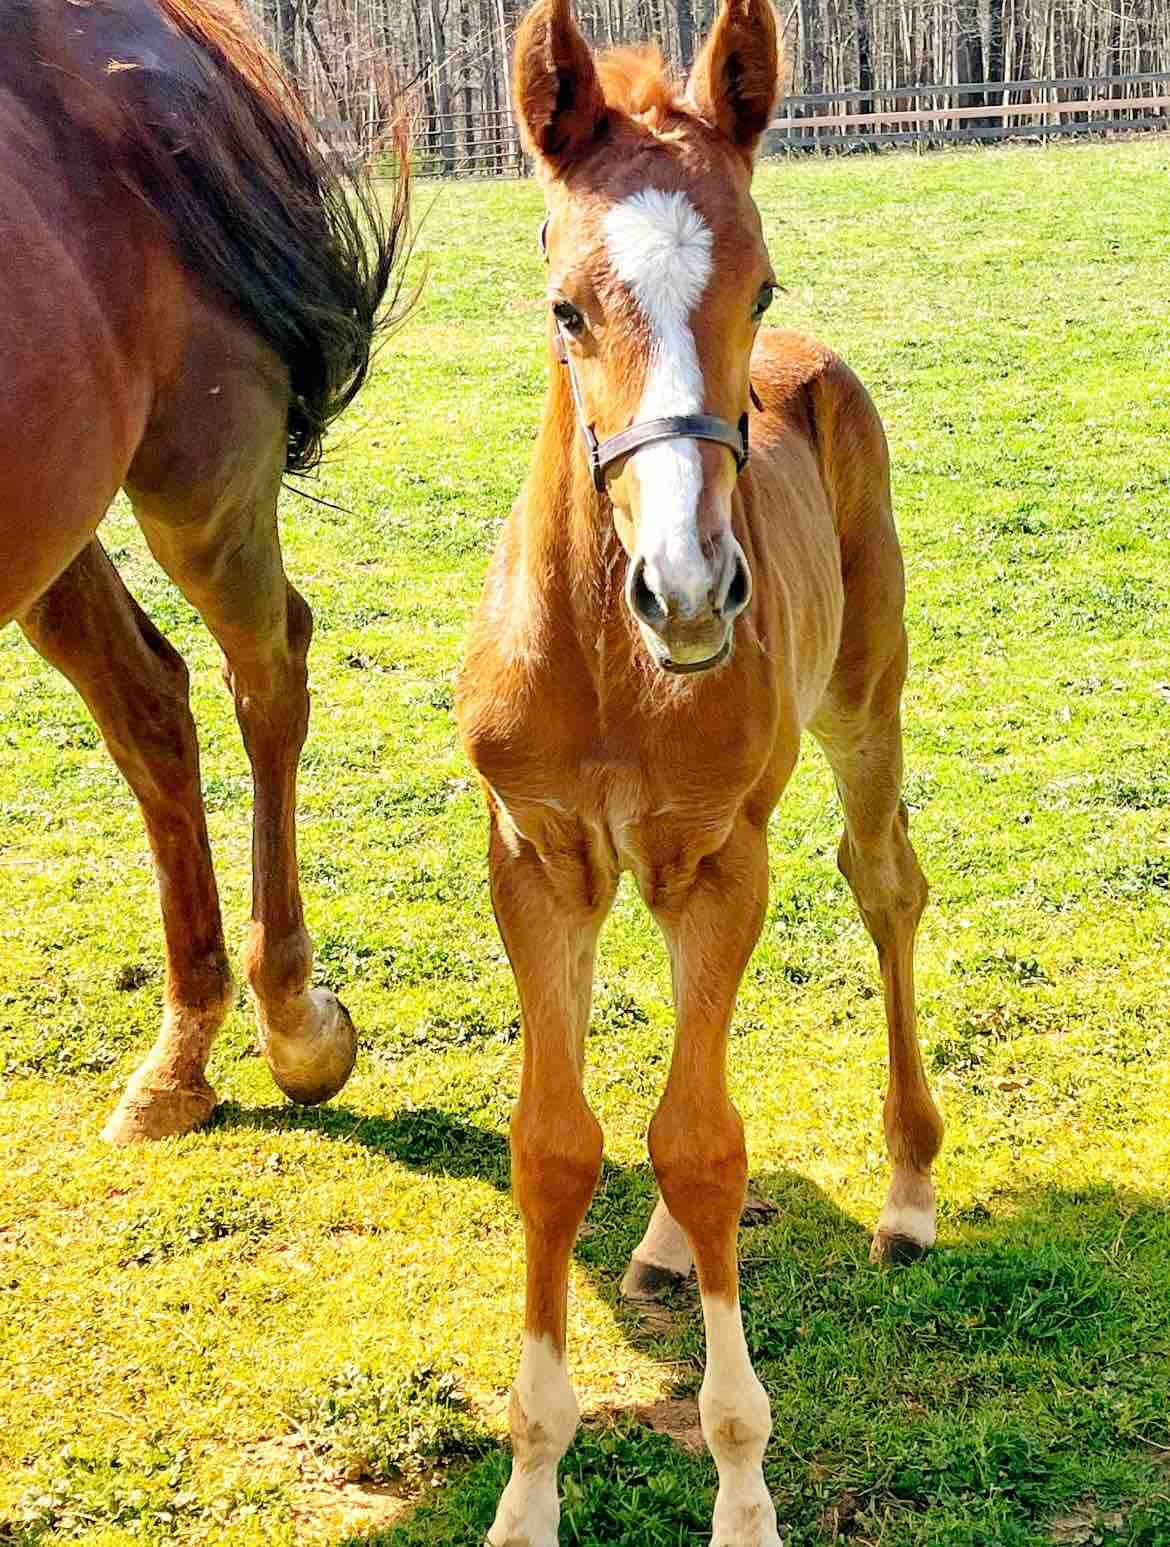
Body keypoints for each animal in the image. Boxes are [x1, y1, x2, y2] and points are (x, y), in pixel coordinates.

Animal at [1, 0, 405, 1138]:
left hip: (200, 479)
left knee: (266, 670)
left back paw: (294, 1022)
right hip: (54, 513)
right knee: (150, 700)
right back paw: (178, 1062)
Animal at [458, 0, 940, 1540]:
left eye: (759, 280)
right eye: (564, 305)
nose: (686, 591)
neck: (614, 665)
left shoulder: (722, 848)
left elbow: (707, 1140)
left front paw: (741, 1483)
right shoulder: (539, 855)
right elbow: (562, 1143)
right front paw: (527, 1487)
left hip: (861, 704)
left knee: (883, 883)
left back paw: (909, 1187)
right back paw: (671, 1244)